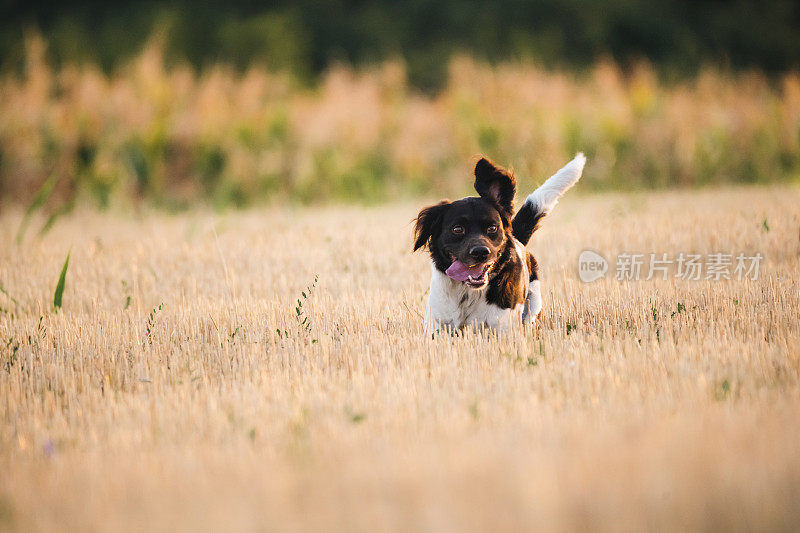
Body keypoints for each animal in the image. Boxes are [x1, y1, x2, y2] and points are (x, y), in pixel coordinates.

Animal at [416, 152, 584, 332]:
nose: (480, 252)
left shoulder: (503, 327)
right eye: (457, 229)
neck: (468, 293)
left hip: (533, 307)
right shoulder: (437, 324)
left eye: (492, 228)